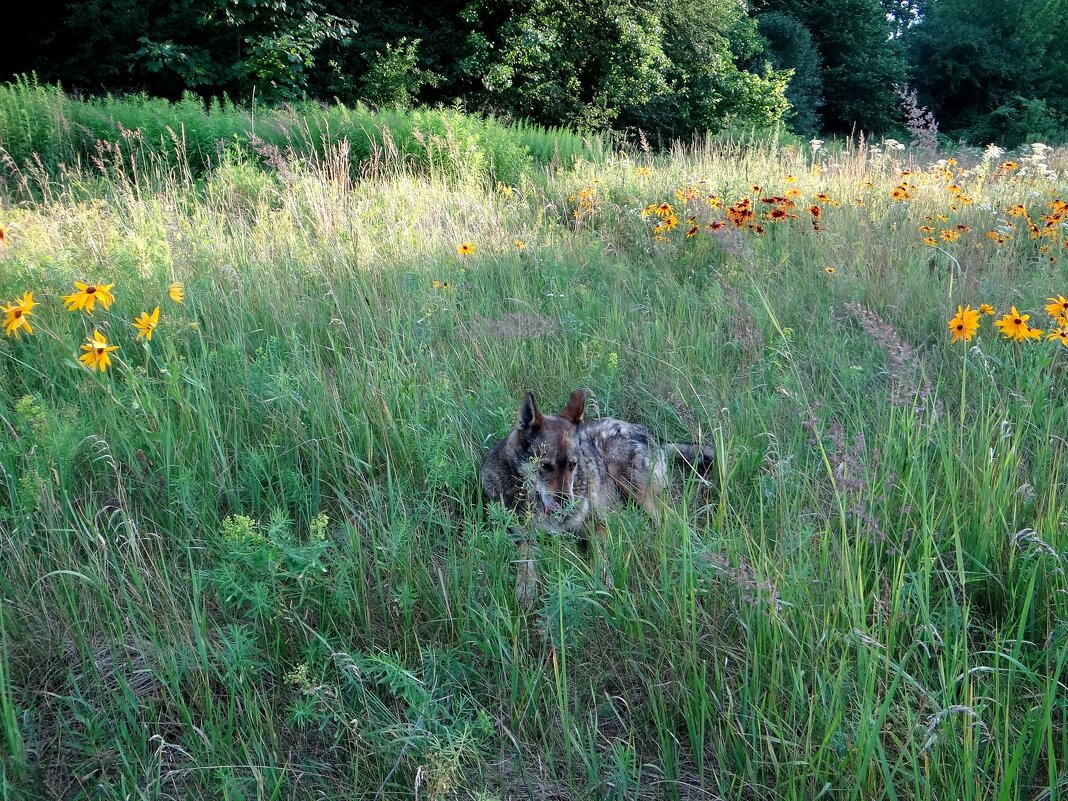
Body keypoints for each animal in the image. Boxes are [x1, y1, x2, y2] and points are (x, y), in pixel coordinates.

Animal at [484, 393, 717, 606]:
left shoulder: (596, 526)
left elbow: (601, 559)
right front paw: (525, 590)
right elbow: (525, 561)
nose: (567, 506)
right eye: (545, 466)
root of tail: (652, 435)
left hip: (631, 484)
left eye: (572, 465)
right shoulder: (523, 536)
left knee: (673, 522)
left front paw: (605, 586)